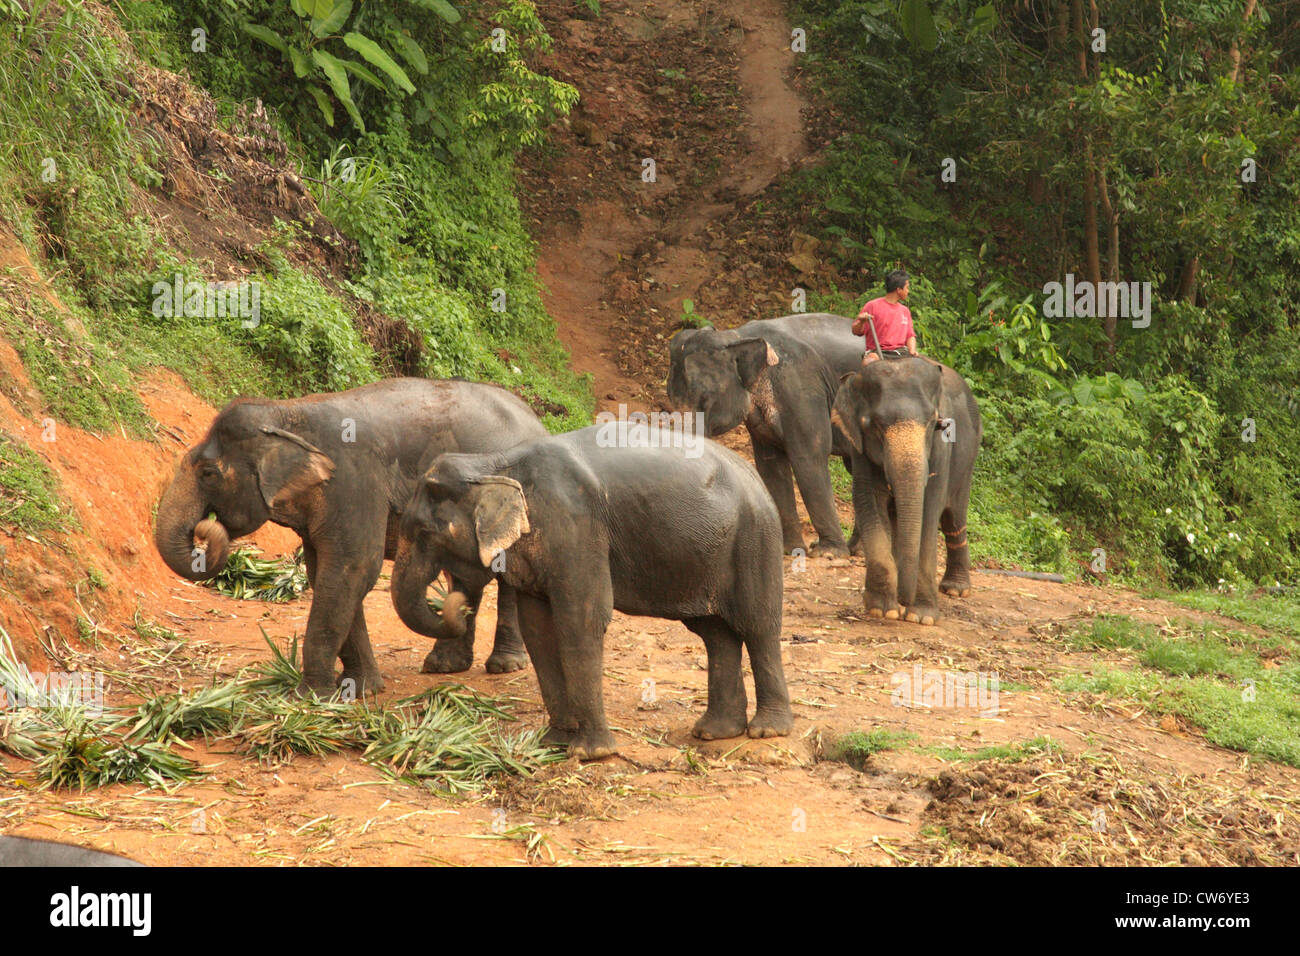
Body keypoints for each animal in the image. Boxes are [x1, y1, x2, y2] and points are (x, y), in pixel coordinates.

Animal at [153, 374, 548, 697]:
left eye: (208, 474)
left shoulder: (355, 482)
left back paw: (504, 665)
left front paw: (309, 698)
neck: (289, 413)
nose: (206, 527)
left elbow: (352, 568)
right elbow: (326, 574)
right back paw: (444, 664)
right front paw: (362, 688)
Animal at [384, 421, 790, 759]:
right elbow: (538, 629)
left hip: (755, 539)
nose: (455, 600)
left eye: (424, 532)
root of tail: (756, 479)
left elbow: (581, 620)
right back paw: (715, 732)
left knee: (758, 626)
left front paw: (590, 753)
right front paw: (553, 743)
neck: (494, 464)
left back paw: (767, 731)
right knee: (715, 633)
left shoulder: (576, 527)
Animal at [665, 314, 868, 556]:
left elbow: (808, 456)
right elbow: (771, 466)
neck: (736, 335)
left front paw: (828, 554)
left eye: (705, 398)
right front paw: (789, 550)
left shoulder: (800, 389)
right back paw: (857, 549)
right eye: (669, 397)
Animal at [826, 358, 977, 629]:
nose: (903, 600)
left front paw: (922, 616)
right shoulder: (860, 451)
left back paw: (955, 589)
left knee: (954, 517)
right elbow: (869, 503)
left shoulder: (941, 451)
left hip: (967, 460)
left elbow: (929, 512)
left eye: (933, 423)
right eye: (875, 426)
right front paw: (883, 610)